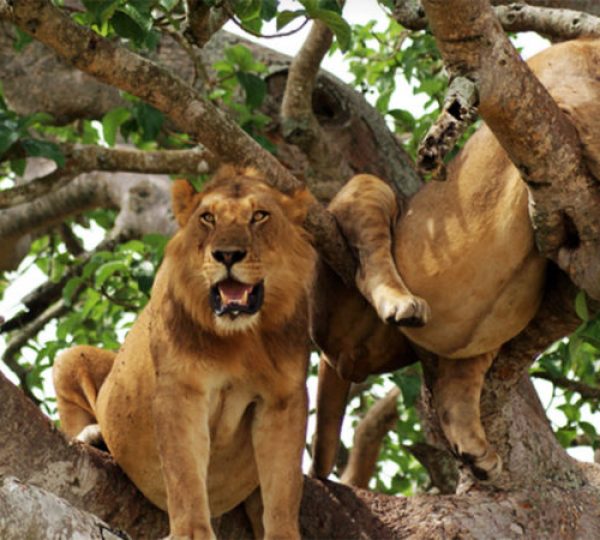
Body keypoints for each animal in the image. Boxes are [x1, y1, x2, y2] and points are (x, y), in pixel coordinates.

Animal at [53, 166, 316, 540]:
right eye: (208, 218)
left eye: (259, 216)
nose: (227, 254)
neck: (240, 338)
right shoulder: (181, 390)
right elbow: (184, 473)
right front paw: (191, 532)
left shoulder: (283, 398)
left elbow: (283, 485)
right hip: (70, 358)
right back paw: (94, 435)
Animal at [312, 39, 600, 486]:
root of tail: (340, 360)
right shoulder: (567, 103)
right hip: (370, 192)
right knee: (368, 261)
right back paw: (401, 304)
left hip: (477, 338)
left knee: (454, 386)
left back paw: (476, 452)